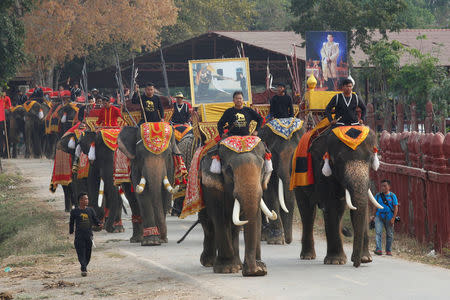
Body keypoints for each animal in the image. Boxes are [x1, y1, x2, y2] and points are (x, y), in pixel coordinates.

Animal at [200, 136, 274, 276]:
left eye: (262, 168)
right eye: (229, 170)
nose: (252, 272)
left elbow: (256, 217)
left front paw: (260, 268)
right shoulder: (213, 188)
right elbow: (220, 218)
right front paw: (226, 269)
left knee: (234, 228)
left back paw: (238, 264)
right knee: (208, 223)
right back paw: (209, 262)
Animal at [294, 126, 382, 268]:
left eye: (370, 159)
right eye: (339, 160)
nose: (356, 264)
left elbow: (362, 207)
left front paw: (365, 259)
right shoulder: (321, 171)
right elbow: (331, 205)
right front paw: (335, 261)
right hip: (298, 178)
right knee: (307, 212)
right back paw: (307, 256)